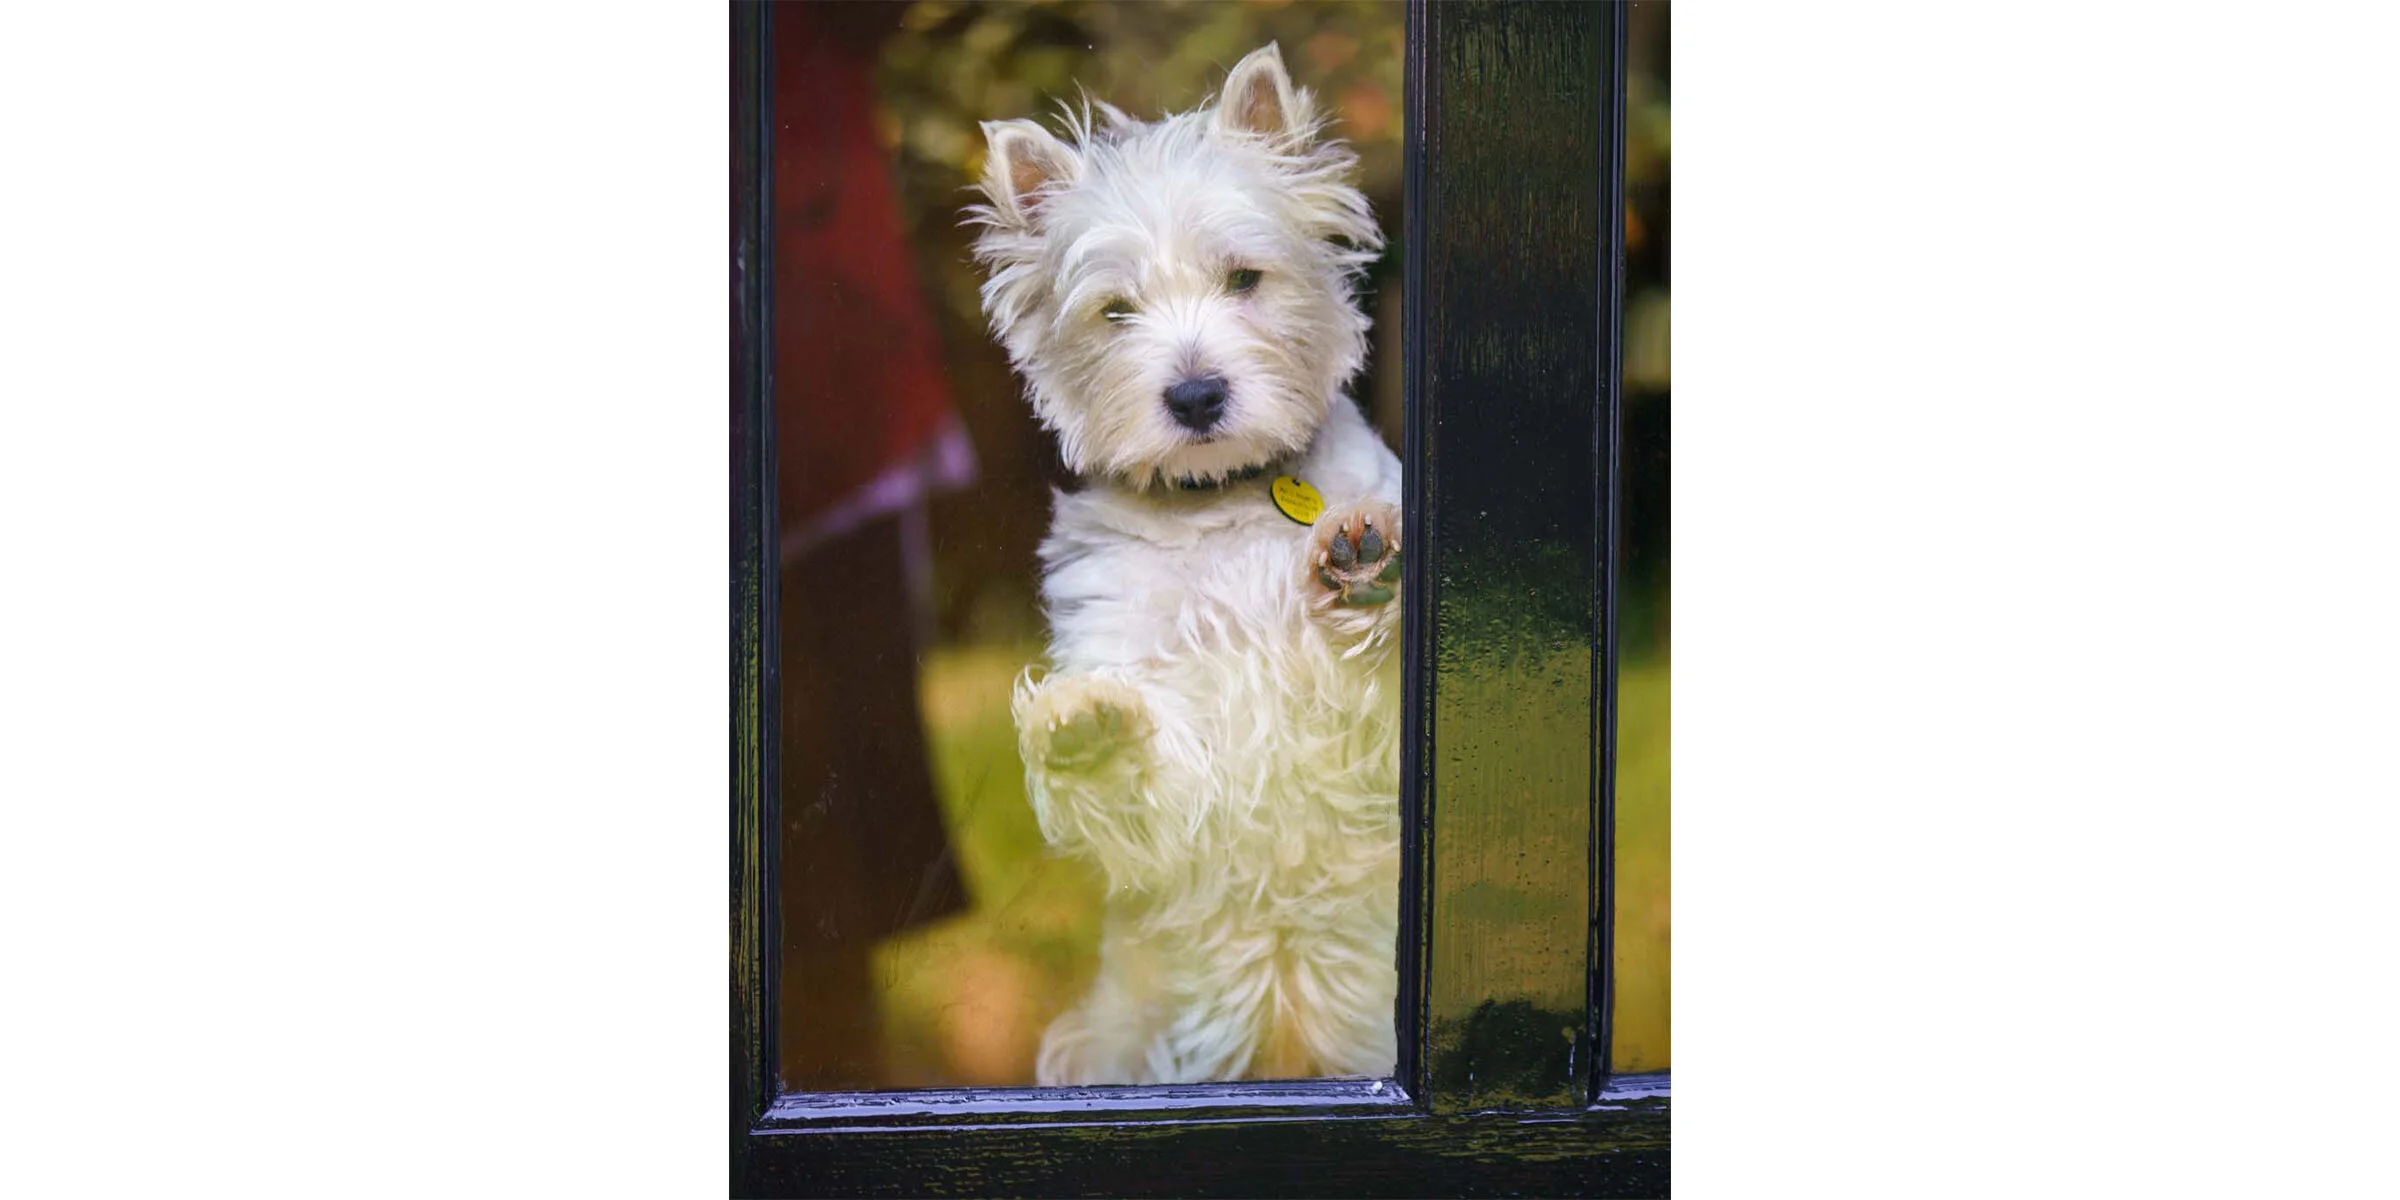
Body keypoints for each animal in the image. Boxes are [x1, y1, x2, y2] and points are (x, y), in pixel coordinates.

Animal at [970, 42, 1401, 1086]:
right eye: (1114, 311)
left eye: (1244, 278)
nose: (1197, 395)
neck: (1224, 503)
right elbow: (1155, 780)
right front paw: (1088, 733)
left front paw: (1358, 559)